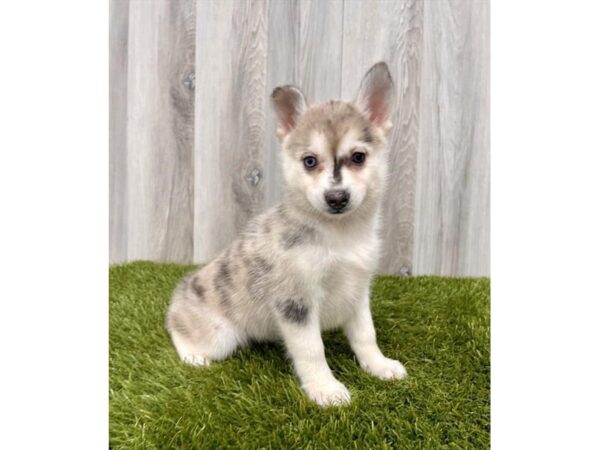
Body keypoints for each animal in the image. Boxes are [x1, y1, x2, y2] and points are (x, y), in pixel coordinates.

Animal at [166, 61, 406, 406]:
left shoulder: (357, 291)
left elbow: (366, 335)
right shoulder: (295, 302)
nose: (336, 198)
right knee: (177, 330)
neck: (340, 236)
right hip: (218, 336)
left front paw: (379, 365)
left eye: (359, 157)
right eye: (310, 161)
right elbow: (312, 350)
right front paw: (325, 389)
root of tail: (180, 293)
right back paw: (194, 356)